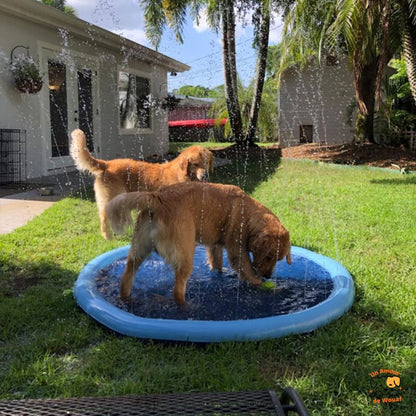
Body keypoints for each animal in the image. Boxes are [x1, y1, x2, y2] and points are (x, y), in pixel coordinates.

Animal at [70, 130, 213, 240]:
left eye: (206, 162)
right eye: (195, 164)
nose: (205, 176)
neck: (183, 174)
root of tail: (106, 164)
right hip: (111, 198)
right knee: (104, 218)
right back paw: (108, 237)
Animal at [105, 182, 290, 306]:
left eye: (277, 259)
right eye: (269, 257)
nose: (268, 276)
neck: (249, 213)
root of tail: (157, 198)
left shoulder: (215, 246)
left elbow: (217, 263)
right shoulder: (237, 250)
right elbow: (248, 271)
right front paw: (265, 285)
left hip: (139, 249)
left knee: (126, 276)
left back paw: (126, 298)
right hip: (185, 254)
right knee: (177, 290)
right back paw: (187, 307)